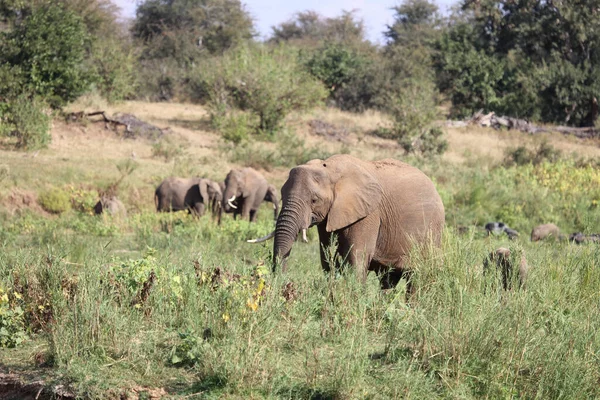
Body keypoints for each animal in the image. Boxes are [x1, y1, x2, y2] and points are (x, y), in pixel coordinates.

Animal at [251, 154, 442, 290]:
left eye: (314, 200)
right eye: (282, 195)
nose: (283, 285)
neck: (330, 169)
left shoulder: (369, 213)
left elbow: (356, 259)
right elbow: (327, 259)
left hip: (432, 231)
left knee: (417, 278)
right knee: (388, 281)